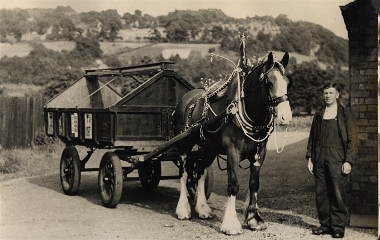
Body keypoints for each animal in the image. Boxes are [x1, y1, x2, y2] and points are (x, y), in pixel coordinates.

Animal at [174, 41, 292, 234]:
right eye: (268, 82)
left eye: (288, 83)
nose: (286, 117)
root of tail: (185, 99)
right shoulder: (232, 151)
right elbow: (233, 185)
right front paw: (230, 223)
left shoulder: (260, 152)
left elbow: (254, 184)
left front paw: (253, 219)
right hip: (184, 144)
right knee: (184, 174)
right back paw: (183, 209)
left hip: (208, 148)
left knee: (200, 171)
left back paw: (202, 208)